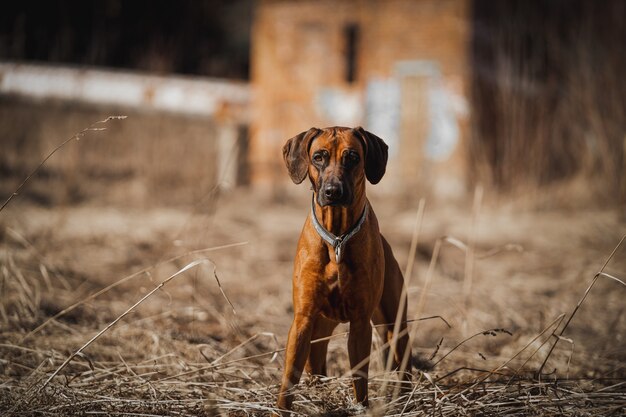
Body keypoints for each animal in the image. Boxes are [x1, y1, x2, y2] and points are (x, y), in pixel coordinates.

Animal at [276, 125, 414, 412]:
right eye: (318, 157)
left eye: (352, 157)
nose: (333, 191)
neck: (337, 238)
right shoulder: (302, 321)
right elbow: (289, 379)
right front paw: (281, 409)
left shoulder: (361, 323)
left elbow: (360, 380)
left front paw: (362, 407)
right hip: (319, 329)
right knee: (316, 364)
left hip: (395, 322)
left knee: (403, 360)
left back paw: (404, 398)